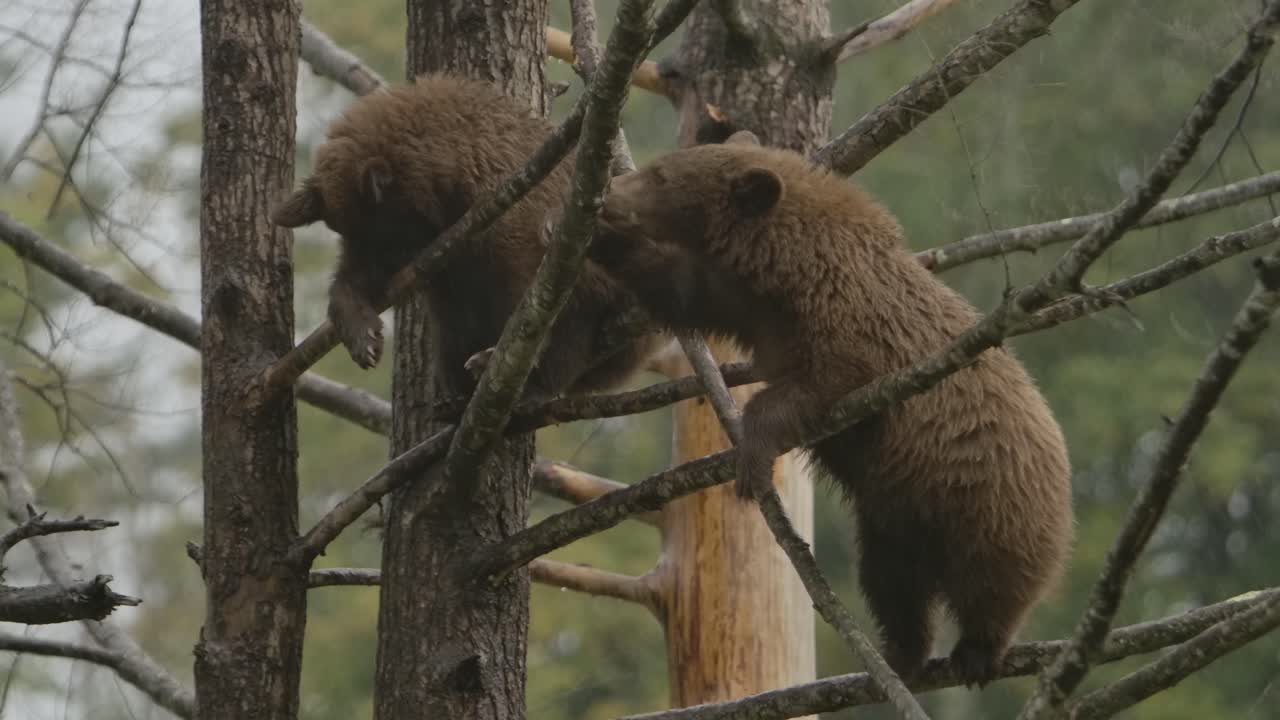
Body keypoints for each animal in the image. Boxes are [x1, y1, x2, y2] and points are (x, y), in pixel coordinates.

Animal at [272, 74, 663, 398]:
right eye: (345, 231)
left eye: (383, 227)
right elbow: (351, 280)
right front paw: (364, 338)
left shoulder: (515, 218)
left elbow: (531, 294)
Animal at [586, 131, 1074, 688]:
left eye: (661, 175)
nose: (610, 194)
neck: (789, 271)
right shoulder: (743, 302)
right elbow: (678, 288)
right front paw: (600, 240)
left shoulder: (852, 336)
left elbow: (812, 389)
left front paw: (752, 462)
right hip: (892, 522)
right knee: (892, 586)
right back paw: (901, 655)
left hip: (988, 498)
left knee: (994, 582)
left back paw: (977, 651)